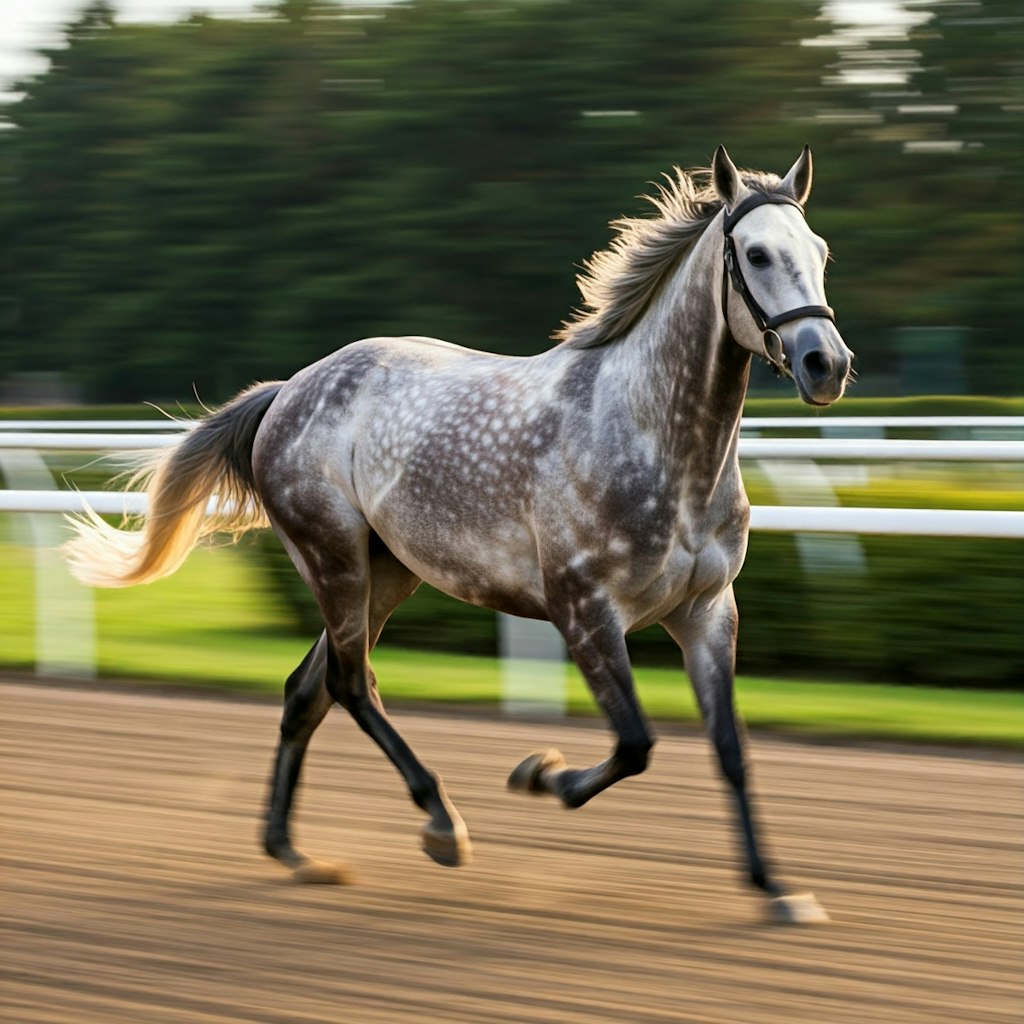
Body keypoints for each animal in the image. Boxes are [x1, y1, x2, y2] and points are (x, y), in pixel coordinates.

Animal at [64, 148, 851, 925]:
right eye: (756, 254)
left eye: (819, 250)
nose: (827, 364)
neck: (654, 440)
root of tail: (288, 389)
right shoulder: (584, 608)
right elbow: (635, 743)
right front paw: (542, 775)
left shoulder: (707, 610)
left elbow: (730, 748)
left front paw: (776, 889)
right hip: (333, 556)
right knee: (350, 683)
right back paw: (440, 821)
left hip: (388, 571)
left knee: (305, 690)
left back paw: (292, 850)